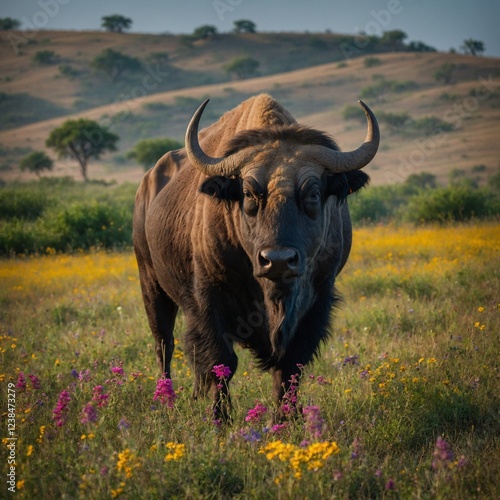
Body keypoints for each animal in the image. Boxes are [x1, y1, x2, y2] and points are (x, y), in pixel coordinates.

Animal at [133, 94, 378, 422]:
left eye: (313, 193)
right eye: (248, 193)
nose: (278, 260)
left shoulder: (317, 300)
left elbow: (290, 365)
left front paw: (288, 418)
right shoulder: (207, 300)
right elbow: (222, 362)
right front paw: (220, 419)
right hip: (151, 284)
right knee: (165, 345)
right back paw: (166, 402)